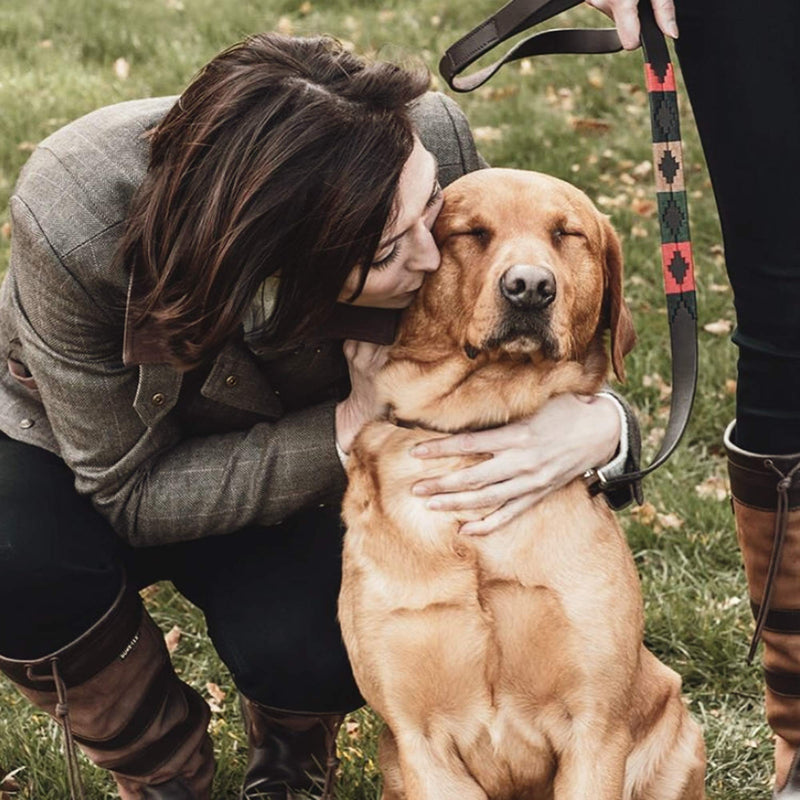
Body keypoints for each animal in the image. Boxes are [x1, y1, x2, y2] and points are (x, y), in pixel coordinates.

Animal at [340, 169, 704, 800]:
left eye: (566, 233)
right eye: (471, 233)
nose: (530, 287)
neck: (482, 425)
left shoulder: (594, 728)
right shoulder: (419, 740)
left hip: (679, 732)